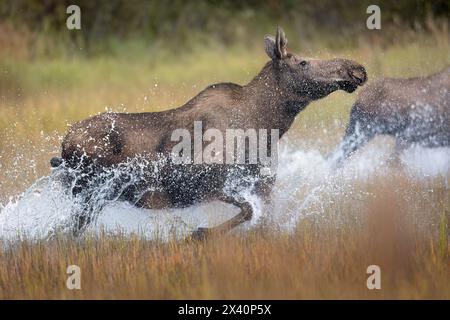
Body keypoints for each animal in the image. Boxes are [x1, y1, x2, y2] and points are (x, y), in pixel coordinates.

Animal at [52, 27, 368, 238]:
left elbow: (263, 219)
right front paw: (200, 233)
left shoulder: (261, 183)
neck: (267, 125)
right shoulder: (204, 180)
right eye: (303, 62)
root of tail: (63, 147)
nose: (357, 69)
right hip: (92, 192)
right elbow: (247, 211)